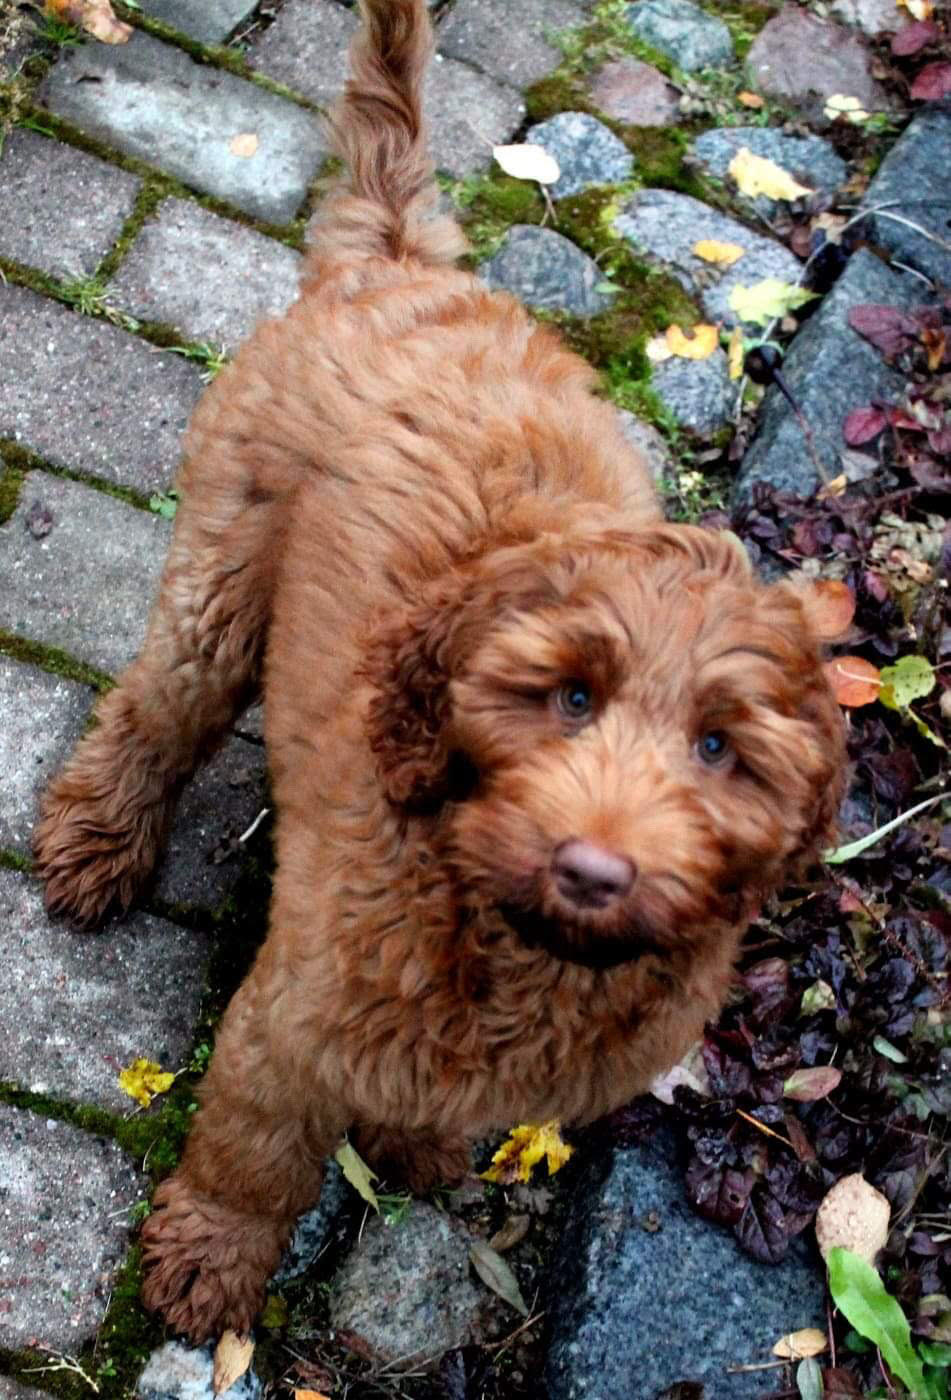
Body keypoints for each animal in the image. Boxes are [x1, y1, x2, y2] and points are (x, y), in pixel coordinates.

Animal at [33, 0, 846, 1343]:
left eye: (720, 747)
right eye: (570, 695)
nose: (594, 868)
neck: (512, 938)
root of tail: (401, 260)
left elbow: (430, 1108)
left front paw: (414, 1147)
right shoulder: (299, 1014)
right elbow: (257, 1147)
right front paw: (213, 1258)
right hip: (224, 562)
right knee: (160, 703)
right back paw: (100, 834)